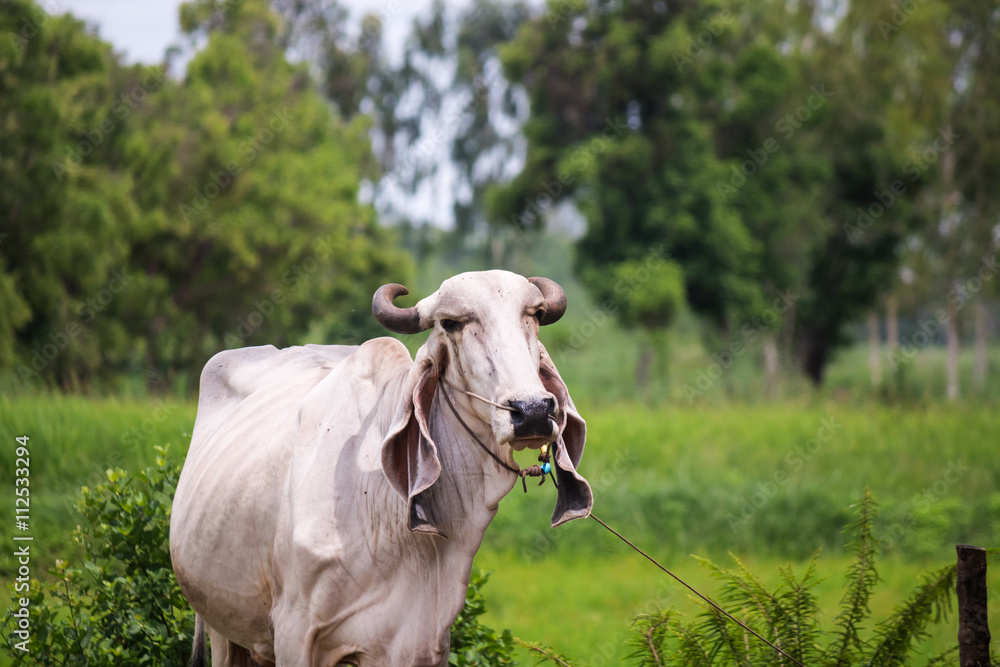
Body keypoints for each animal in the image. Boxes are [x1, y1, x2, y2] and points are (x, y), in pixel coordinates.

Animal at [169, 270, 593, 667]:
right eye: (451, 323)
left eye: (535, 314)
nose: (532, 410)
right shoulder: (294, 632)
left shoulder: (423, 640)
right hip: (222, 627)